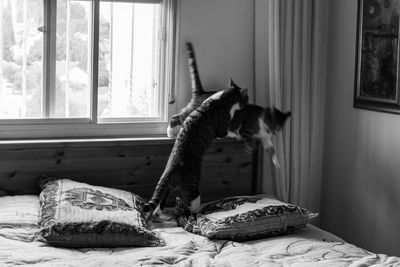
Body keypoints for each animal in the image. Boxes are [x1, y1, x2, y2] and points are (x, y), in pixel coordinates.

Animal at [145, 80, 248, 219]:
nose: (248, 103)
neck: (222, 99)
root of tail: (173, 167)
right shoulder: (222, 130)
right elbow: (228, 132)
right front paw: (237, 134)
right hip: (192, 188)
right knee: (192, 207)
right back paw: (196, 215)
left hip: (169, 184)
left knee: (163, 197)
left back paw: (157, 212)